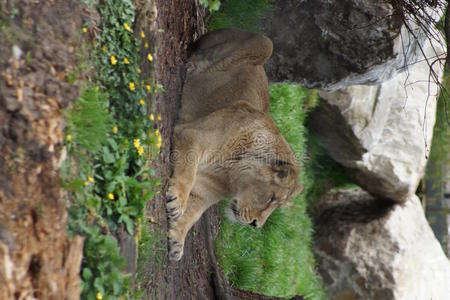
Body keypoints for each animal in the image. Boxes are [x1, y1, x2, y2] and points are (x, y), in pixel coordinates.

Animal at [165, 29, 302, 262]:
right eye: (272, 199)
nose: (256, 225)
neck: (229, 173)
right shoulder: (191, 134)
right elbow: (188, 175)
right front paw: (178, 199)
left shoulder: (205, 192)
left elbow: (194, 214)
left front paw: (177, 239)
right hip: (266, 42)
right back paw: (192, 67)